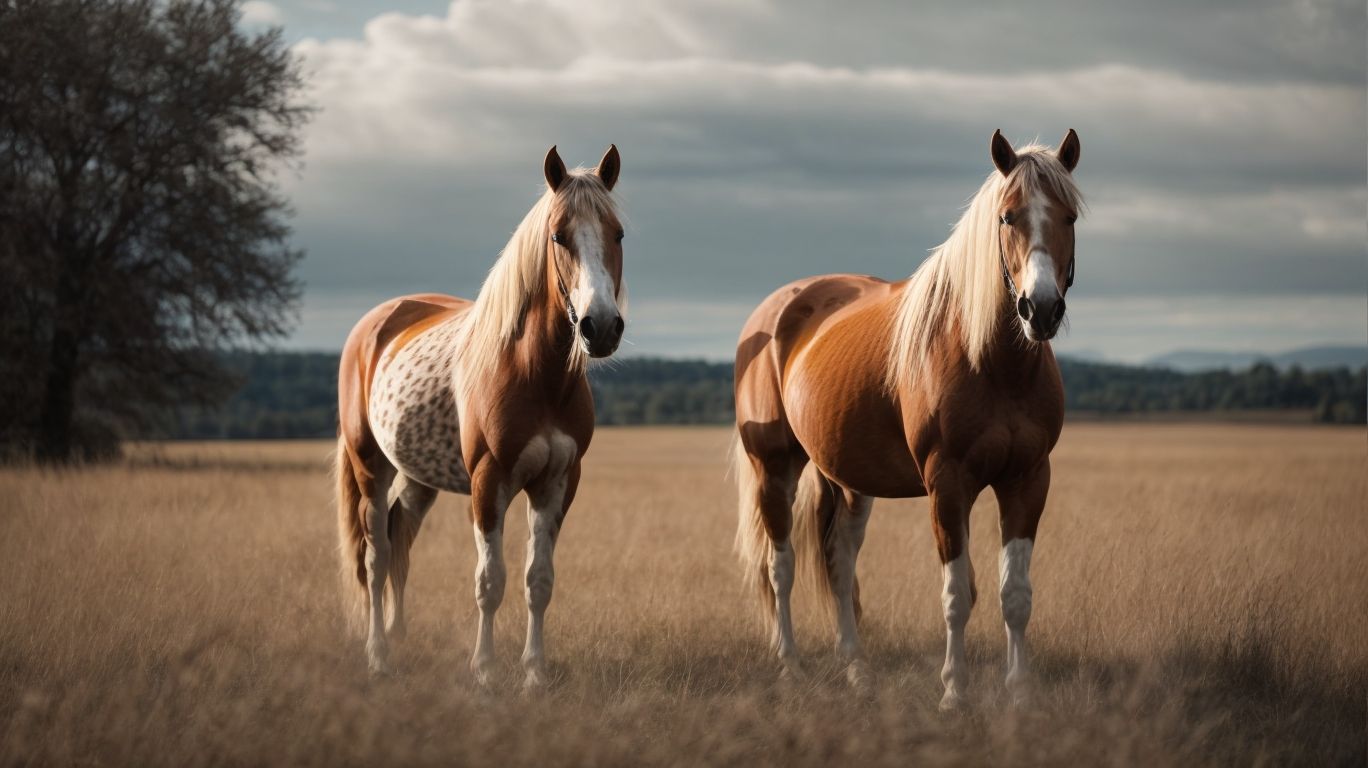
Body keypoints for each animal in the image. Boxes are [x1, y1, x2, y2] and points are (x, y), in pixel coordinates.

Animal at [335, 145, 626, 688]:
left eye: (617, 233)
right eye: (558, 235)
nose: (600, 327)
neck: (535, 374)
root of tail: (376, 322)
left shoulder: (558, 483)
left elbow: (538, 581)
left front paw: (534, 673)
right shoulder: (489, 483)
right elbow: (490, 581)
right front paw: (486, 671)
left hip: (417, 478)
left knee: (400, 539)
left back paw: (398, 636)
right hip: (370, 468)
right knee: (376, 555)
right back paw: (378, 655)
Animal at [733, 129, 1083, 709]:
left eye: (1070, 216)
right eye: (1007, 217)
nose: (1041, 309)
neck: (992, 362)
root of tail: (772, 313)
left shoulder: (1028, 479)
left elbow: (1014, 594)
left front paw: (1019, 693)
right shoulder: (948, 484)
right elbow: (957, 593)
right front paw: (954, 692)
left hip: (849, 482)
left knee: (838, 561)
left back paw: (856, 670)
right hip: (775, 468)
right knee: (780, 568)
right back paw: (791, 667)